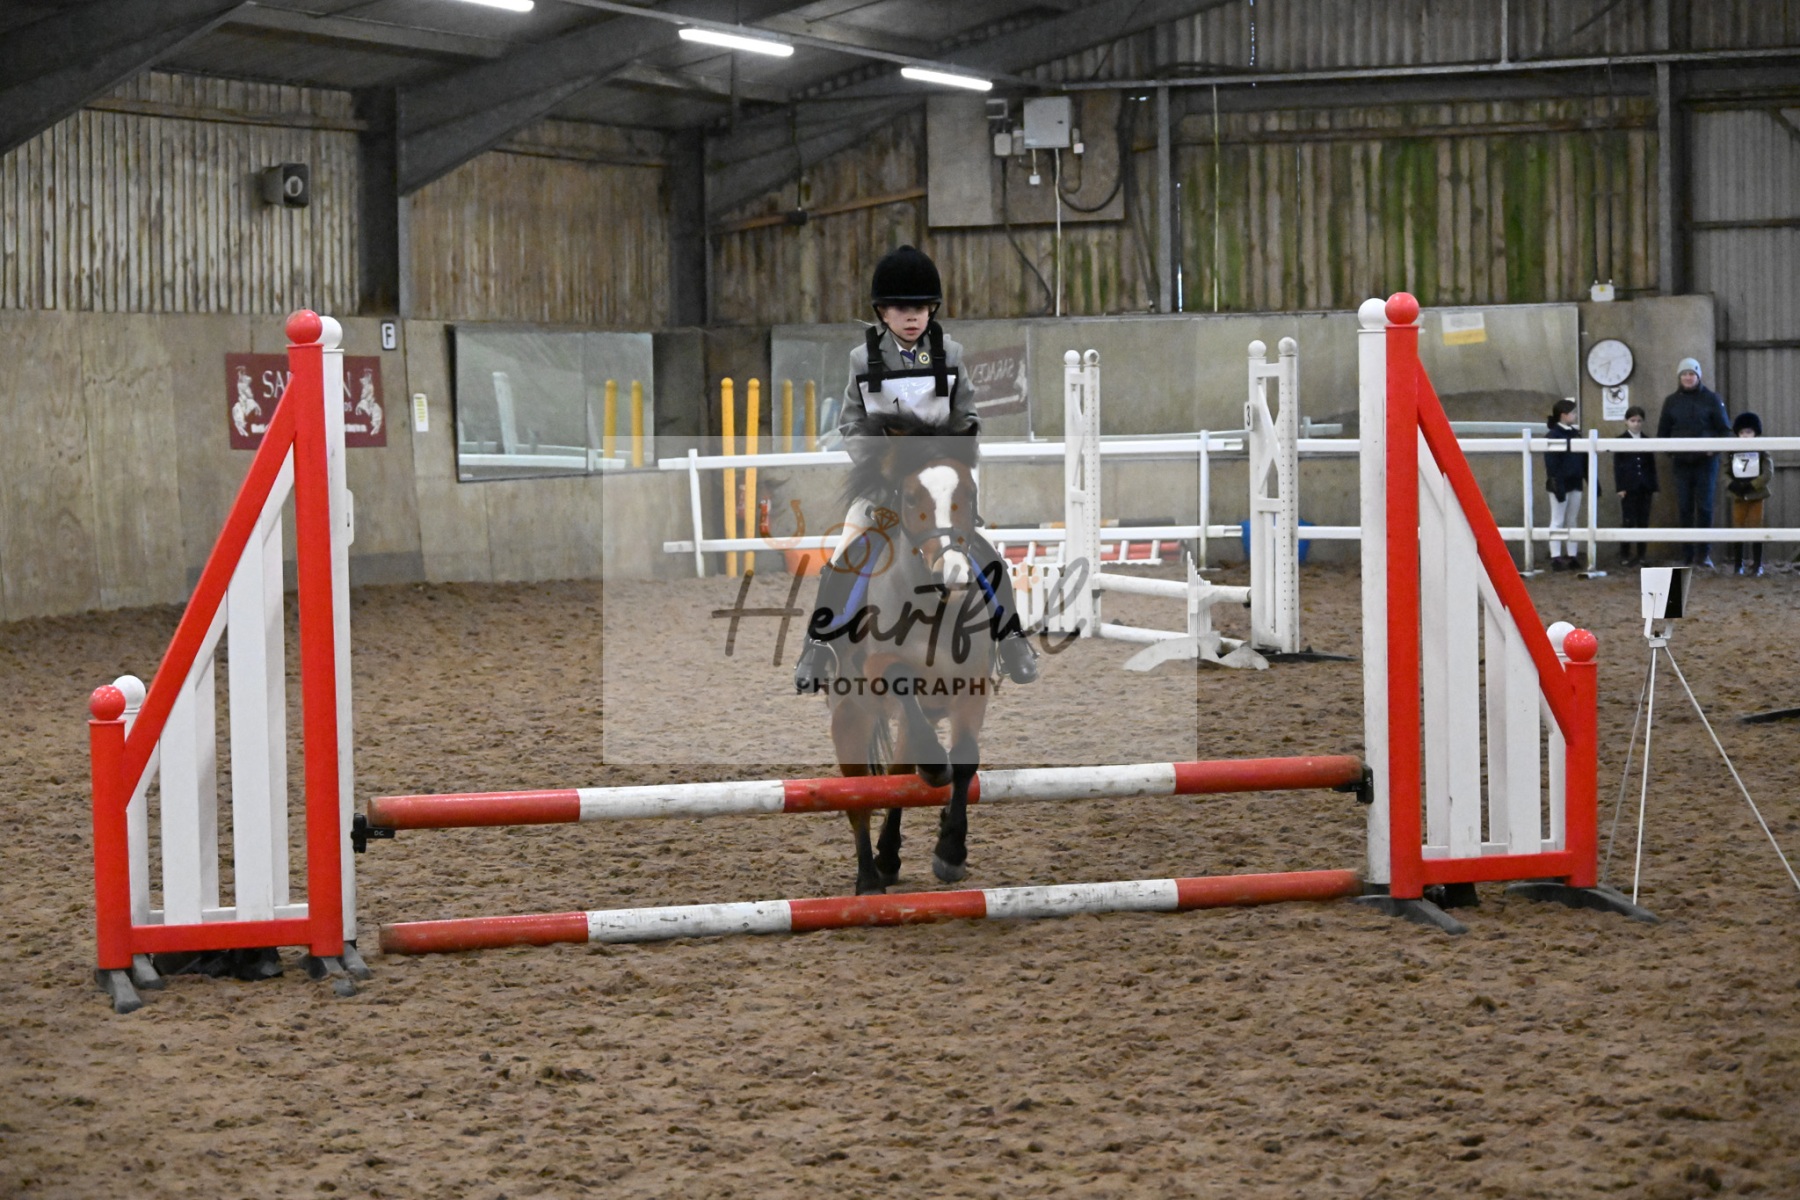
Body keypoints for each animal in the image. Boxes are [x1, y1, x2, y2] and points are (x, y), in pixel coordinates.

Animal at [818, 412, 1001, 895]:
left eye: (968, 493)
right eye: (913, 495)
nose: (952, 572)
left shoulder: (972, 686)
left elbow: (965, 759)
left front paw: (951, 851)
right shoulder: (886, 674)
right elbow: (931, 757)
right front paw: (935, 774)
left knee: (899, 774)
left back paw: (888, 858)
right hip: (850, 718)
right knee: (860, 797)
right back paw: (868, 880)